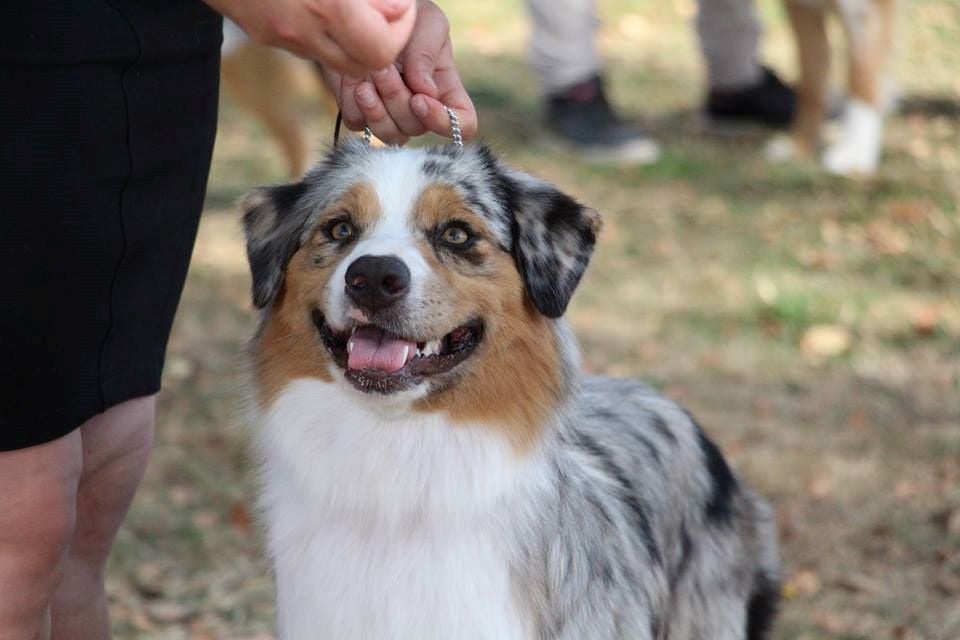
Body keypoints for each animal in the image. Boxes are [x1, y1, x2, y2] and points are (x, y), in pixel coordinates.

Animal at [773, 0, 897, 175]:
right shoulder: (803, 9)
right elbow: (810, 86)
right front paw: (799, 147)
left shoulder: (867, 10)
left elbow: (860, 76)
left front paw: (854, 154)